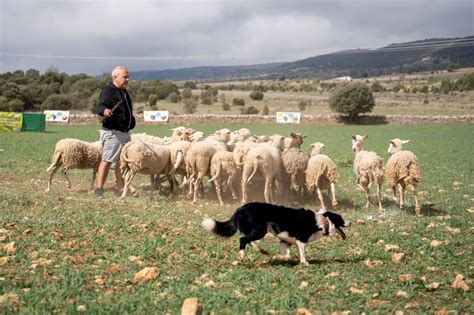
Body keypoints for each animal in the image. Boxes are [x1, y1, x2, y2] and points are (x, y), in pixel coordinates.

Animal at [202, 201, 350, 266]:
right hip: (260, 230)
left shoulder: (285, 241)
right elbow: (302, 254)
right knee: (243, 240)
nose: (350, 222)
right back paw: (242, 256)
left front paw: (282, 258)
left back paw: (263, 251)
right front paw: (305, 263)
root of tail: (241, 208)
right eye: (341, 218)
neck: (322, 220)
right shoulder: (302, 240)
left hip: (258, 231)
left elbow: (287, 255)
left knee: (249, 240)